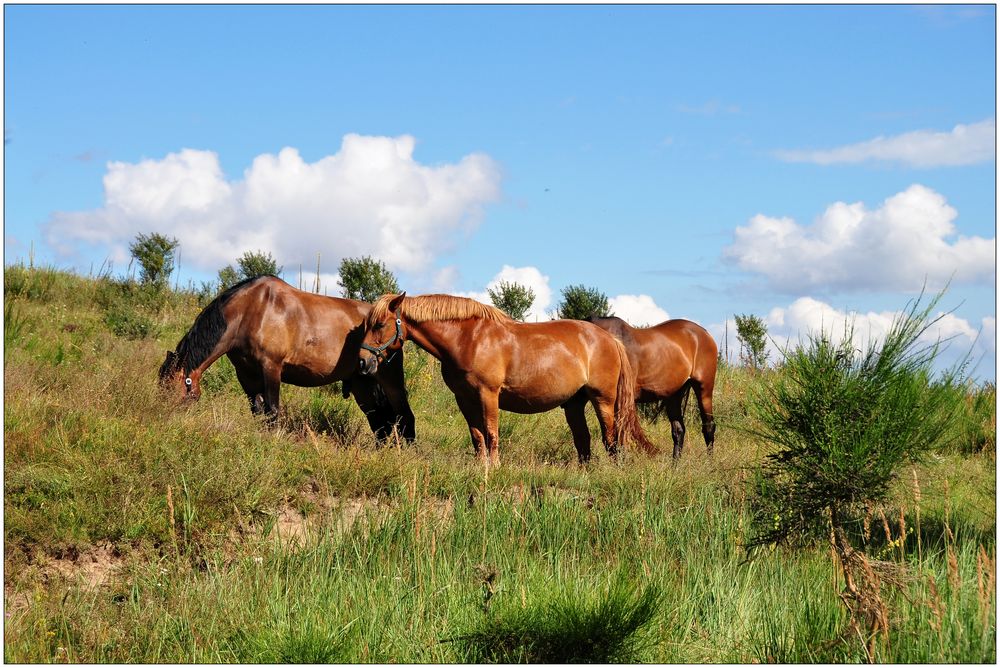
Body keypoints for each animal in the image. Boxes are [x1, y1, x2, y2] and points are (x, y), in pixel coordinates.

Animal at [158, 274, 416, 440]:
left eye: (172, 391)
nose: (167, 425)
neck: (250, 311)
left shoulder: (271, 368)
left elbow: (272, 411)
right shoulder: (246, 375)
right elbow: (258, 411)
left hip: (390, 381)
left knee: (404, 416)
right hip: (363, 384)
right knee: (379, 422)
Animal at [356, 292, 652, 464]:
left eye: (379, 324)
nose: (363, 362)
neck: (469, 339)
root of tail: (609, 339)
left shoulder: (488, 394)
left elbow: (491, 433)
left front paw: (495, 467)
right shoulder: (464, 399)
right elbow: (477, 436)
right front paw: (481, 467)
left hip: (603, 399)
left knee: (610, 437)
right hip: (574, 403)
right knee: (584, 440)